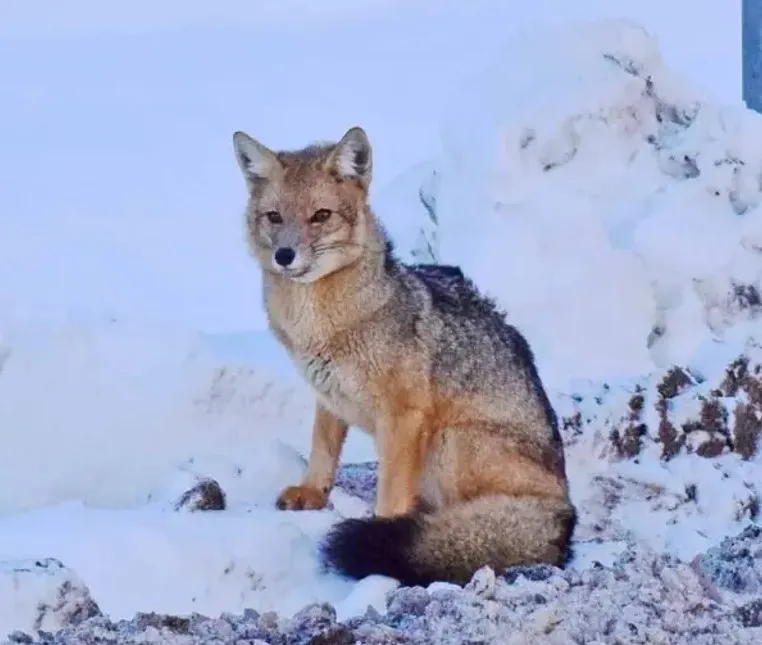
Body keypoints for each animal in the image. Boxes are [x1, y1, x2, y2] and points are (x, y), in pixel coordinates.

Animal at [231, 125, 577, 587]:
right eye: (274, 217)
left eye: (321, 215)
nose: (284, 256)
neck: (321, 328)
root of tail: (564, 508)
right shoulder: (328, 395)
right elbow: (322, 448)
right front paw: (312, 491)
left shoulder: (404, 416)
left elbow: (392, 491)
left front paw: (381, 527)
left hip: (449, 442)